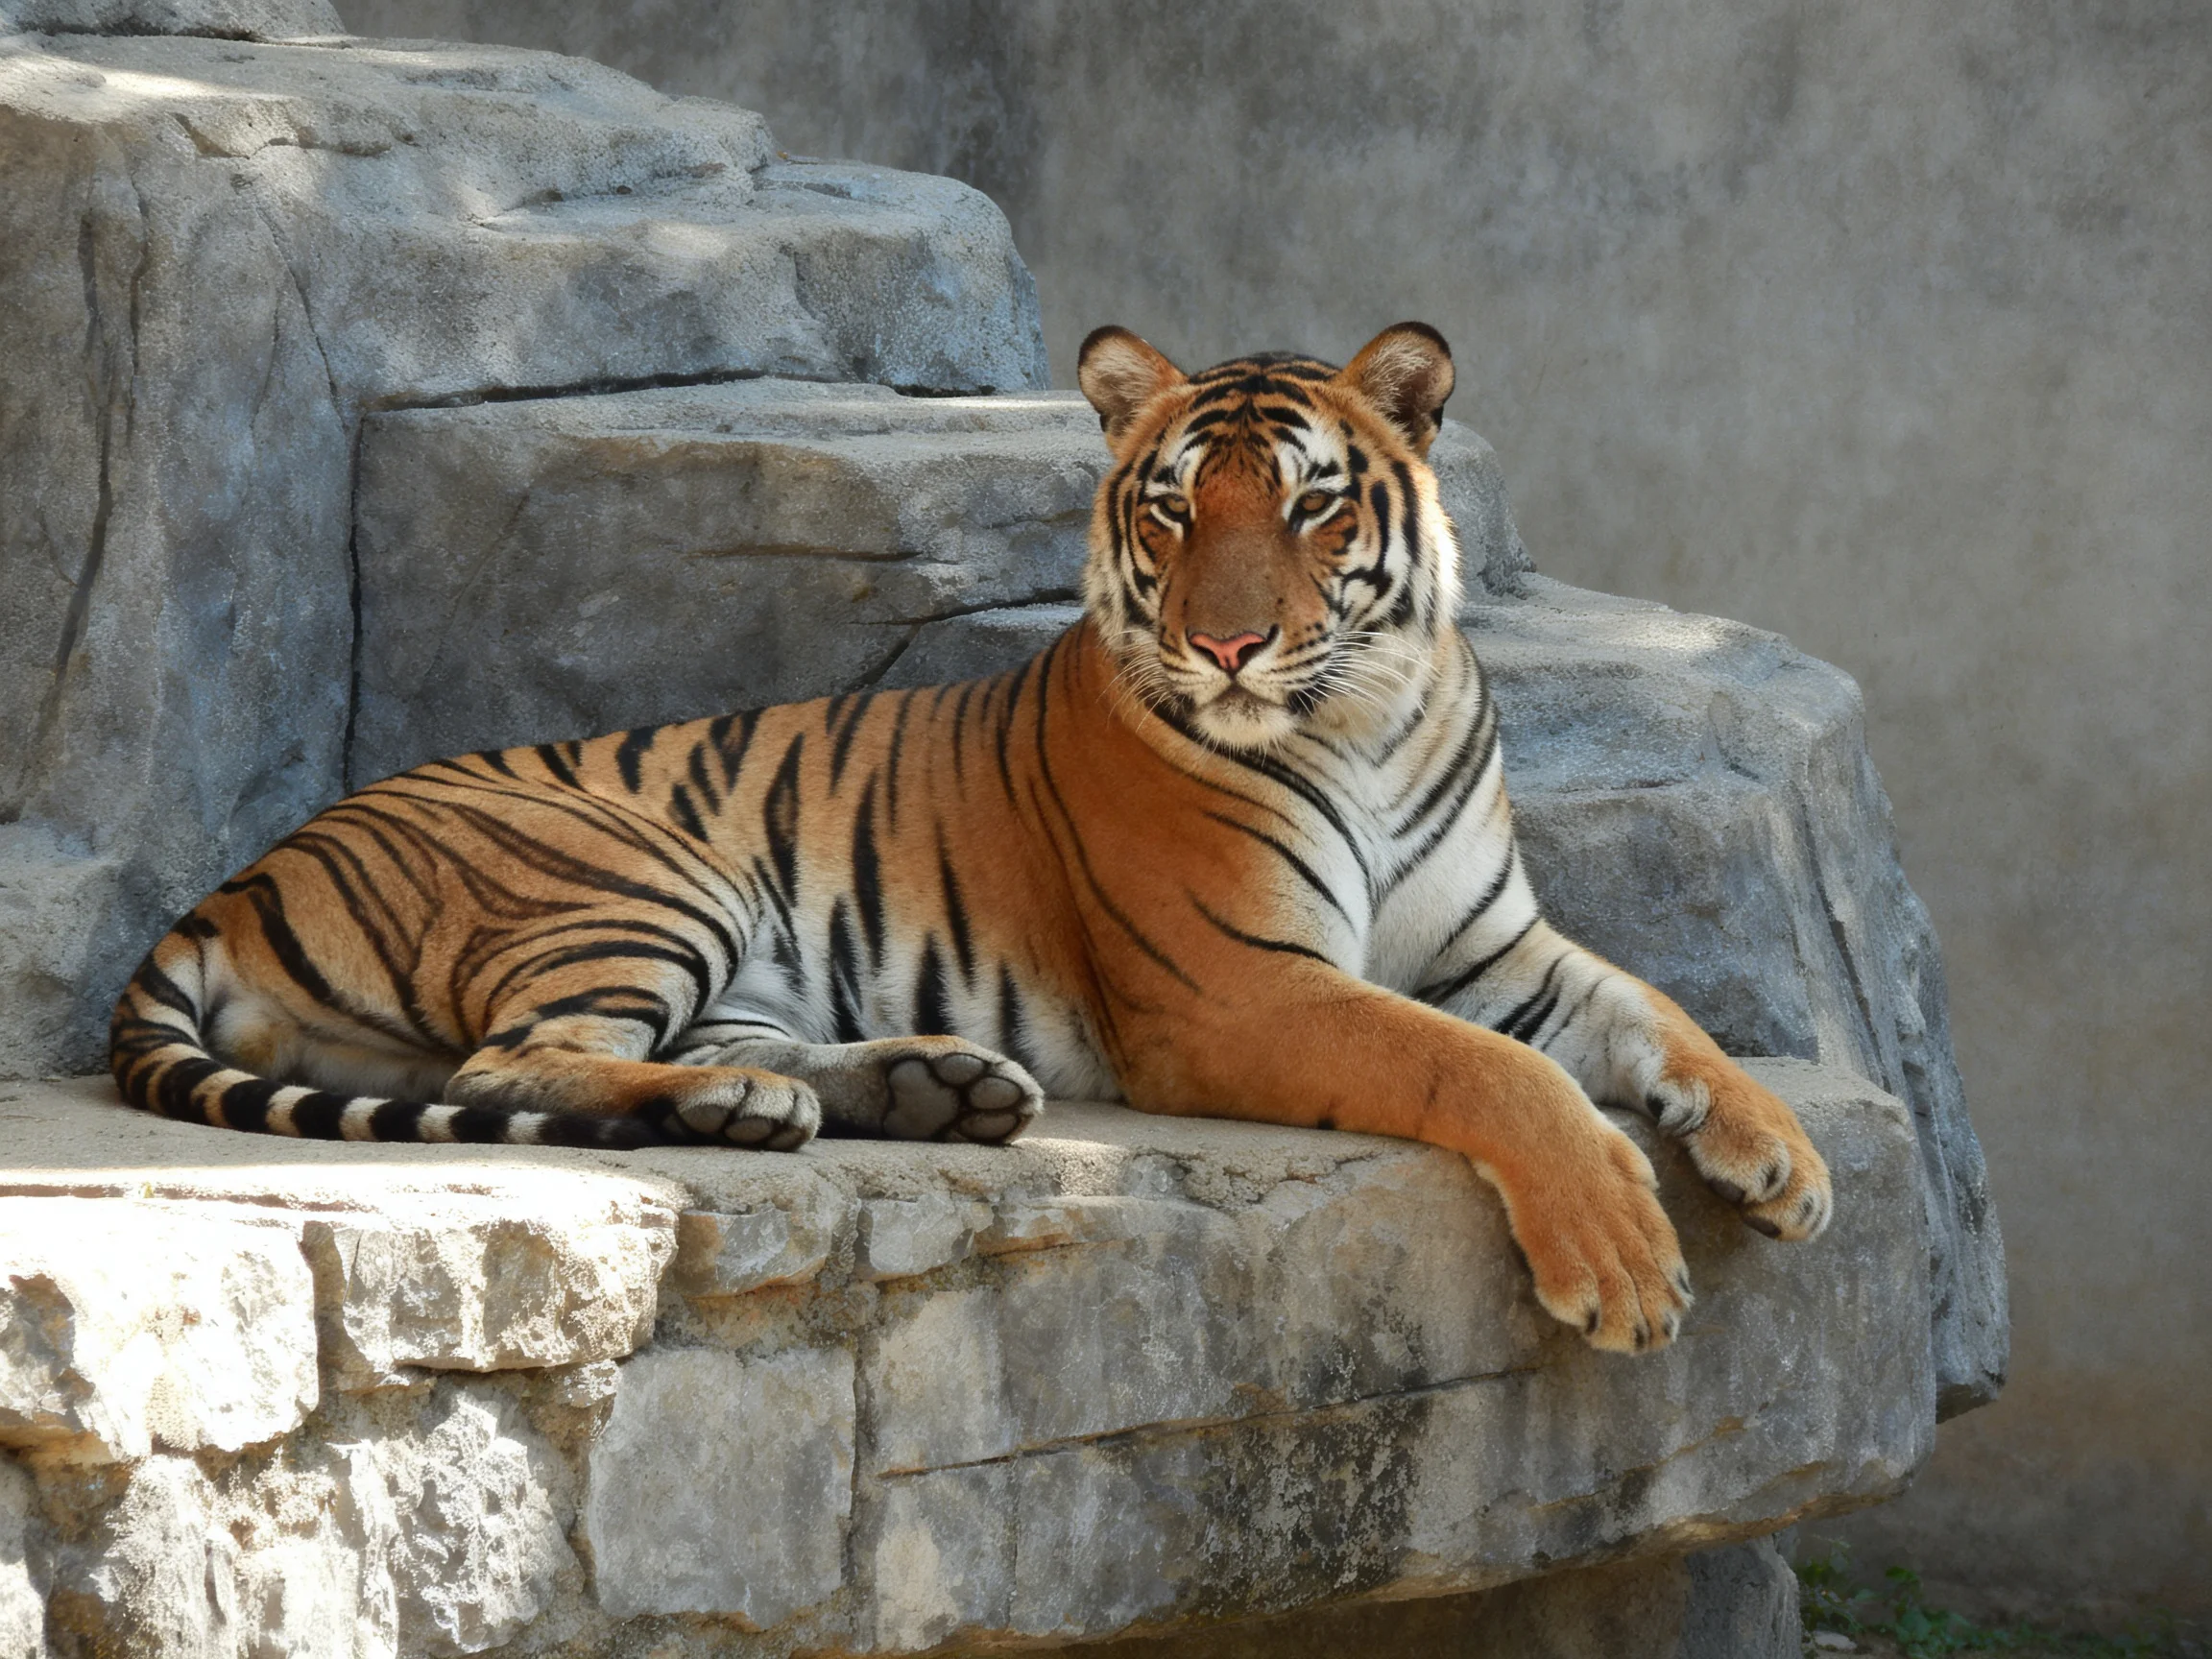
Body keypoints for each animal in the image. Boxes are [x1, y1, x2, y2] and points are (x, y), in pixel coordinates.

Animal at [109, 322, 1832, 1353]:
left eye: (1308, 507)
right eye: (1172, 511)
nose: (1224, 646)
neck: (1367, 710)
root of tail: (240, 877)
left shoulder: (1495, 948)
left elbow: (1652, 1012)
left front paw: (1780, 1161)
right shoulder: (1239, 988)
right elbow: (1486, 1072)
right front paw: (1623, 1262)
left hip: (735, 952)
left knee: (696, 1058)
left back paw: (912, 1087)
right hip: (644, 874)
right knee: (511, 1061)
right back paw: (790, 1103)